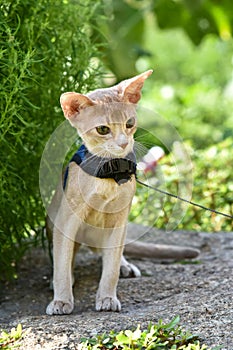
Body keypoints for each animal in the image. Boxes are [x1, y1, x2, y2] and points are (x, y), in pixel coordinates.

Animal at [46, 69, 198, 316]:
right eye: (103, 129)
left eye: (130, 123)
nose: (124, 143)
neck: (110, 173)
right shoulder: (66, 221)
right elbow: (62, 263)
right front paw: (61, 299)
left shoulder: (119, 220)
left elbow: (111, 268)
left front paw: (107, 297)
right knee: (70, 254)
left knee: (109, 253)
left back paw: (125, 266)